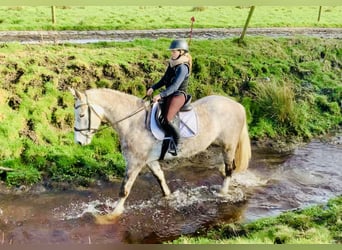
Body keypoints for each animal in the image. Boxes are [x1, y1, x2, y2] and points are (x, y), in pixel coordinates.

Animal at [70, 88, 251, 225]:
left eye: (81, 115)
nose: (79, 142)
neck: (132, 123)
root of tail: (238, 105)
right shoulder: (149, 161)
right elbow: (160, 179)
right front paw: (169, 198)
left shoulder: (135, 162)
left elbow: (124, 190)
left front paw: (110, 215)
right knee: (227, 168)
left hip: (228, 146)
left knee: (229, 169)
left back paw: (222, 193)